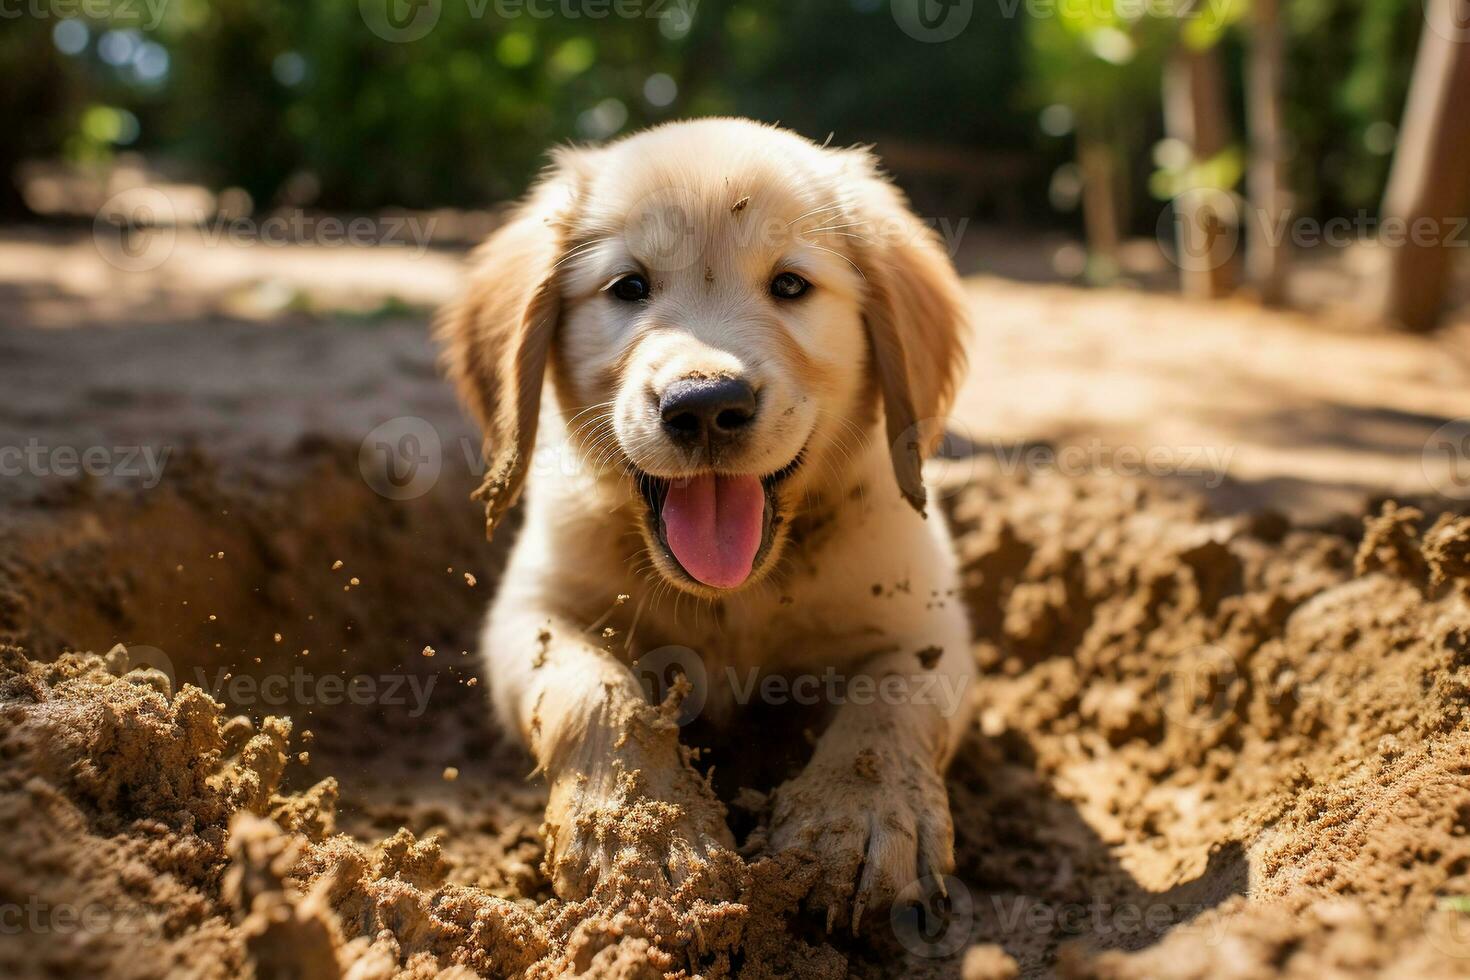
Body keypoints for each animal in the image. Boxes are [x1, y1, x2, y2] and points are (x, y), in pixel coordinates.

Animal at [435, 119, 976, 934]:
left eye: (790, 285)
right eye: (629, 287)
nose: (707, 404)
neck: (736, 597)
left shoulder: (927, 625)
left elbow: (890, 704)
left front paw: (860, 818)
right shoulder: (534, 612)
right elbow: (595, 692)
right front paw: (645, 831)